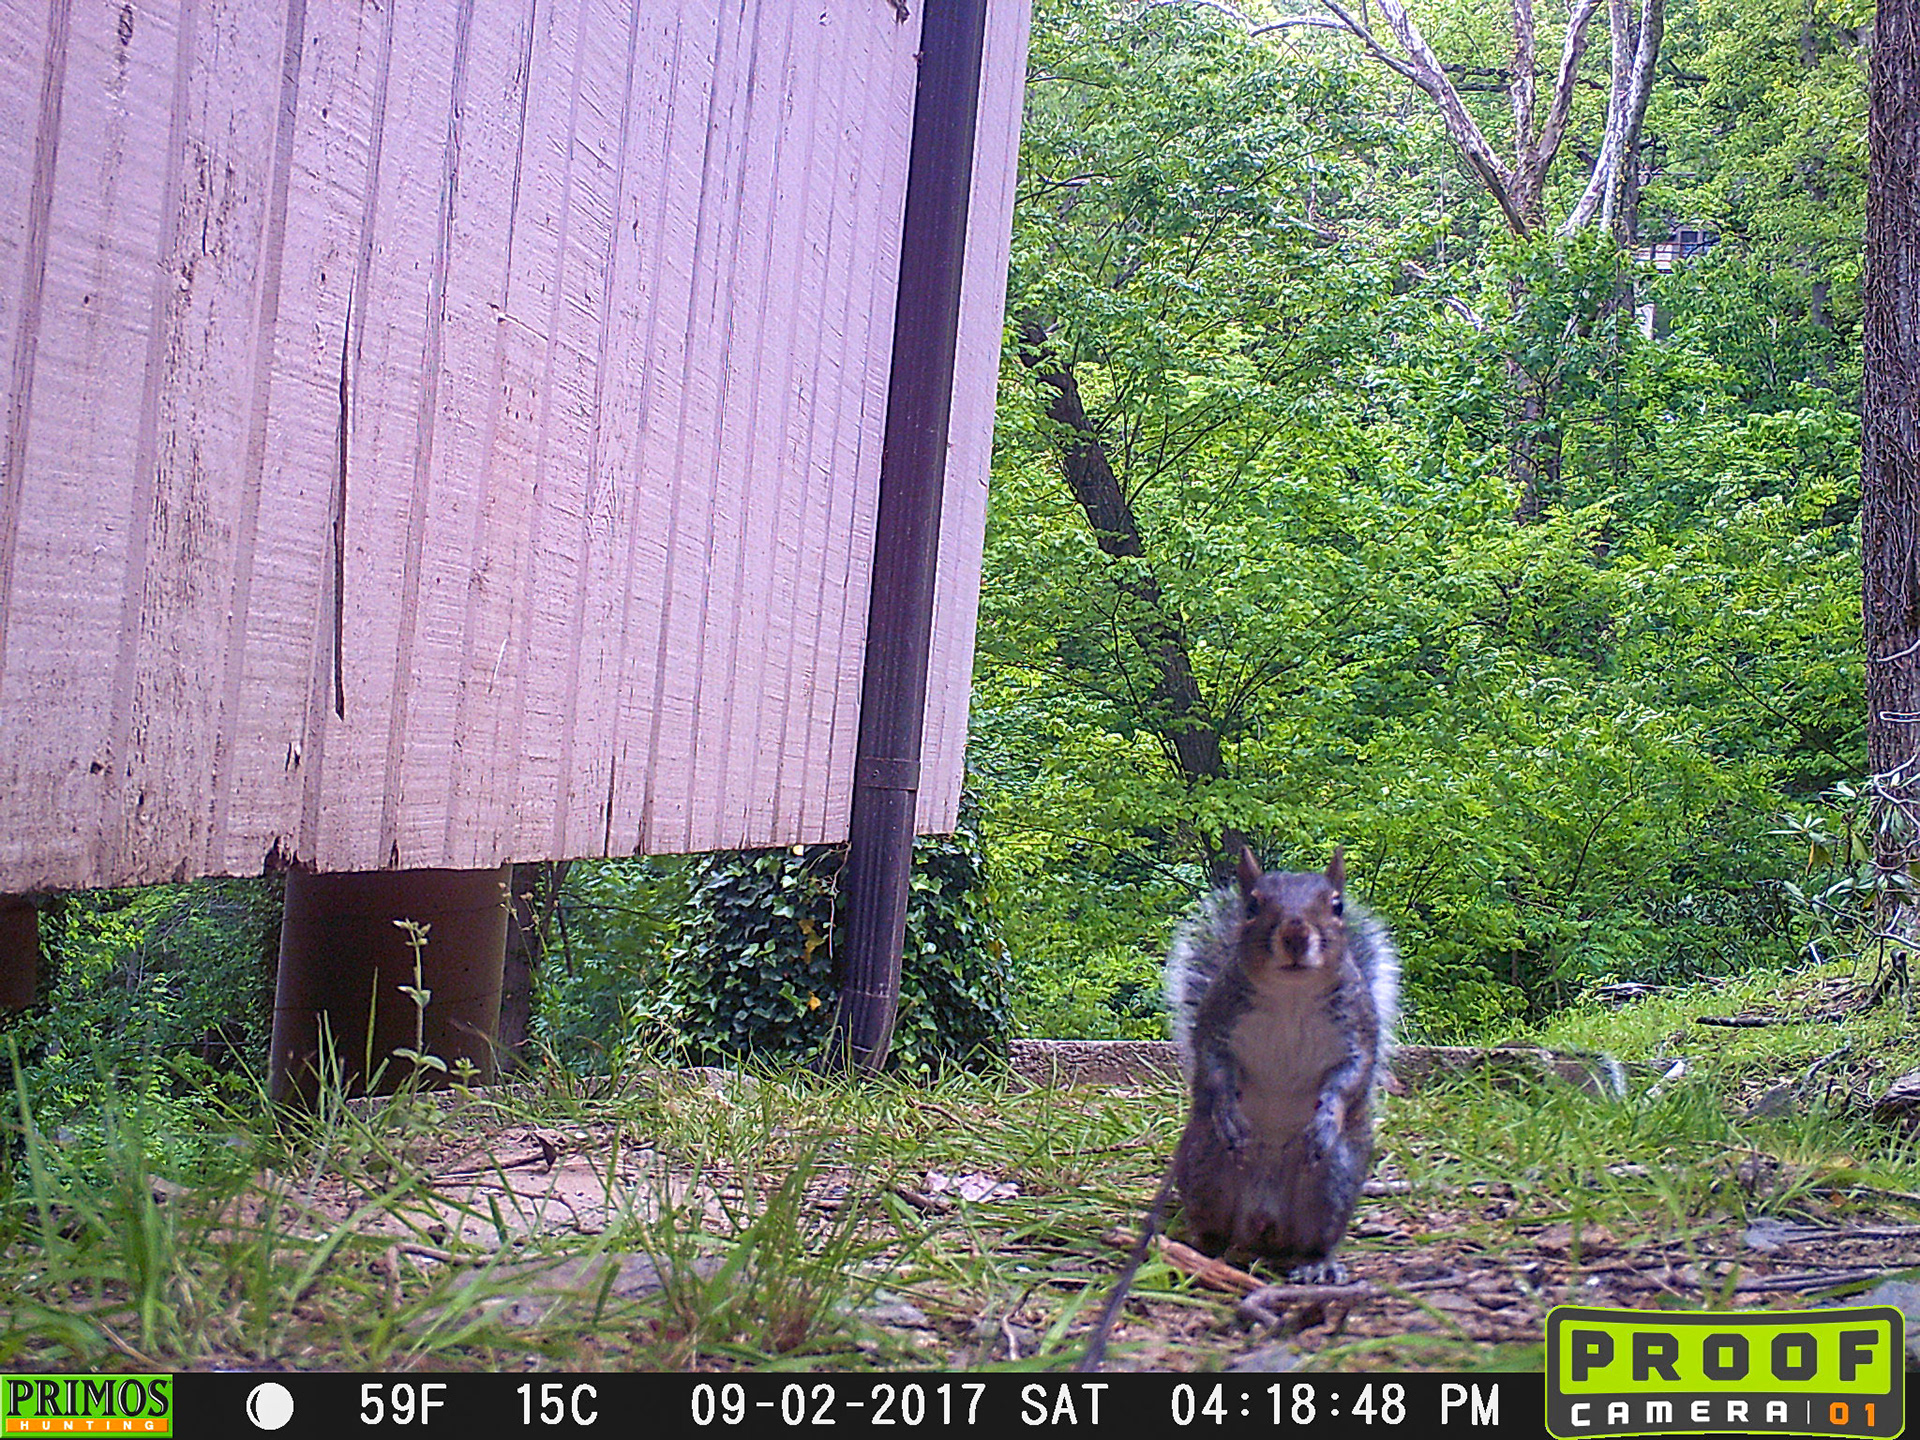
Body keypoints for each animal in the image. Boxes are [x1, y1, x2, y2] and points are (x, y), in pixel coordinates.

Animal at [1078, 846, 1397, 1370]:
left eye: (1336, 905)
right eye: (1252, 905)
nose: (1295, 935)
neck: (1291, 996)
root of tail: (1263, 1223)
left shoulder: (1357, 1031)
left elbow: (1349, 1077)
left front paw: (1325, 1121)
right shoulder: (1217, 1025)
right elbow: (1214, 1070)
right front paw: (1229, 1113)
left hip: (1331, 1182)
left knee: (1319, 1235)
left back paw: (1317, 1266)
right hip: (1207, 1168)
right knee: (1214, 1227)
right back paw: (1202, 1250)